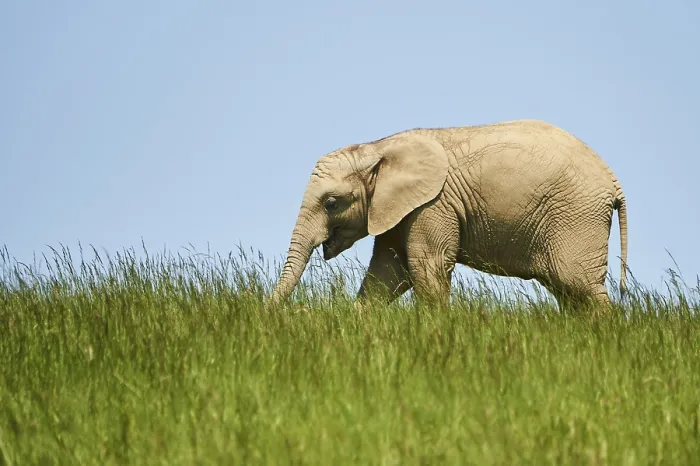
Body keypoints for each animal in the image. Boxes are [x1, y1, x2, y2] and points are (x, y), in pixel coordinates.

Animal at [271, 119, 628, 311]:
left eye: (331, 203)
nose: (273, 312)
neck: (379, 148)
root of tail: (613, 181)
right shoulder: (398, 210)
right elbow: (387, 272)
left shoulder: (432, 205)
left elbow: (426, 267)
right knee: (568, 292)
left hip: (576, 217)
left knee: (580, 285)